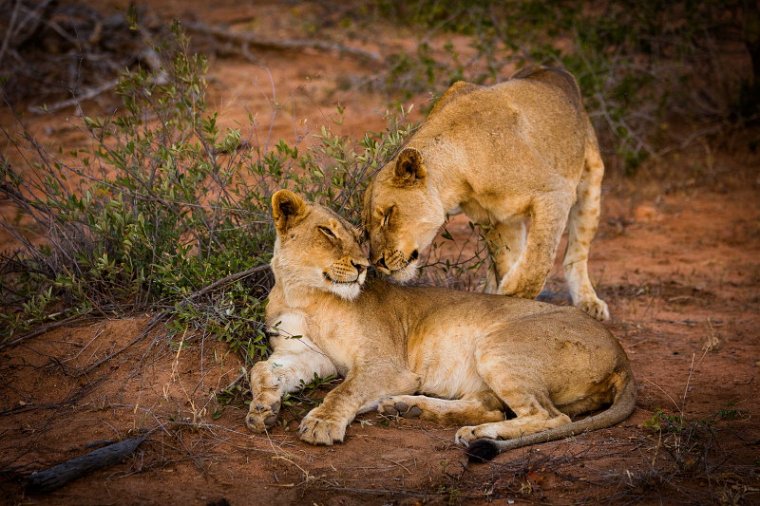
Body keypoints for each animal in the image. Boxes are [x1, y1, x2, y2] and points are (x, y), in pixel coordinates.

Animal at [245, 189, 636, 458]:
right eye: (327, 232)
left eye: (357, 237)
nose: (362, 266)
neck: (303, 294)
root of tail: (623, 357)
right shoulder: (309, 355)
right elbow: (261, 369)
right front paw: (263, 409)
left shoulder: (387, 364)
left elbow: (345, 390)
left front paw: (322, 423)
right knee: (491, 405)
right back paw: (408, 407)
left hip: (498, 345)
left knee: (551, 417)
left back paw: (479, 434)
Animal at [366, 65, 608, 320]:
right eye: (365, 226)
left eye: (388, 215)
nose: (377, 262)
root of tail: (551, 69)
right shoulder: (495, 219)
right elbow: (506, 259)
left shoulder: (554, 191)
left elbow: (538, 259)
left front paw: (513, 294)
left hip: (590, 183)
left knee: (576, 252)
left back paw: (589, 302)